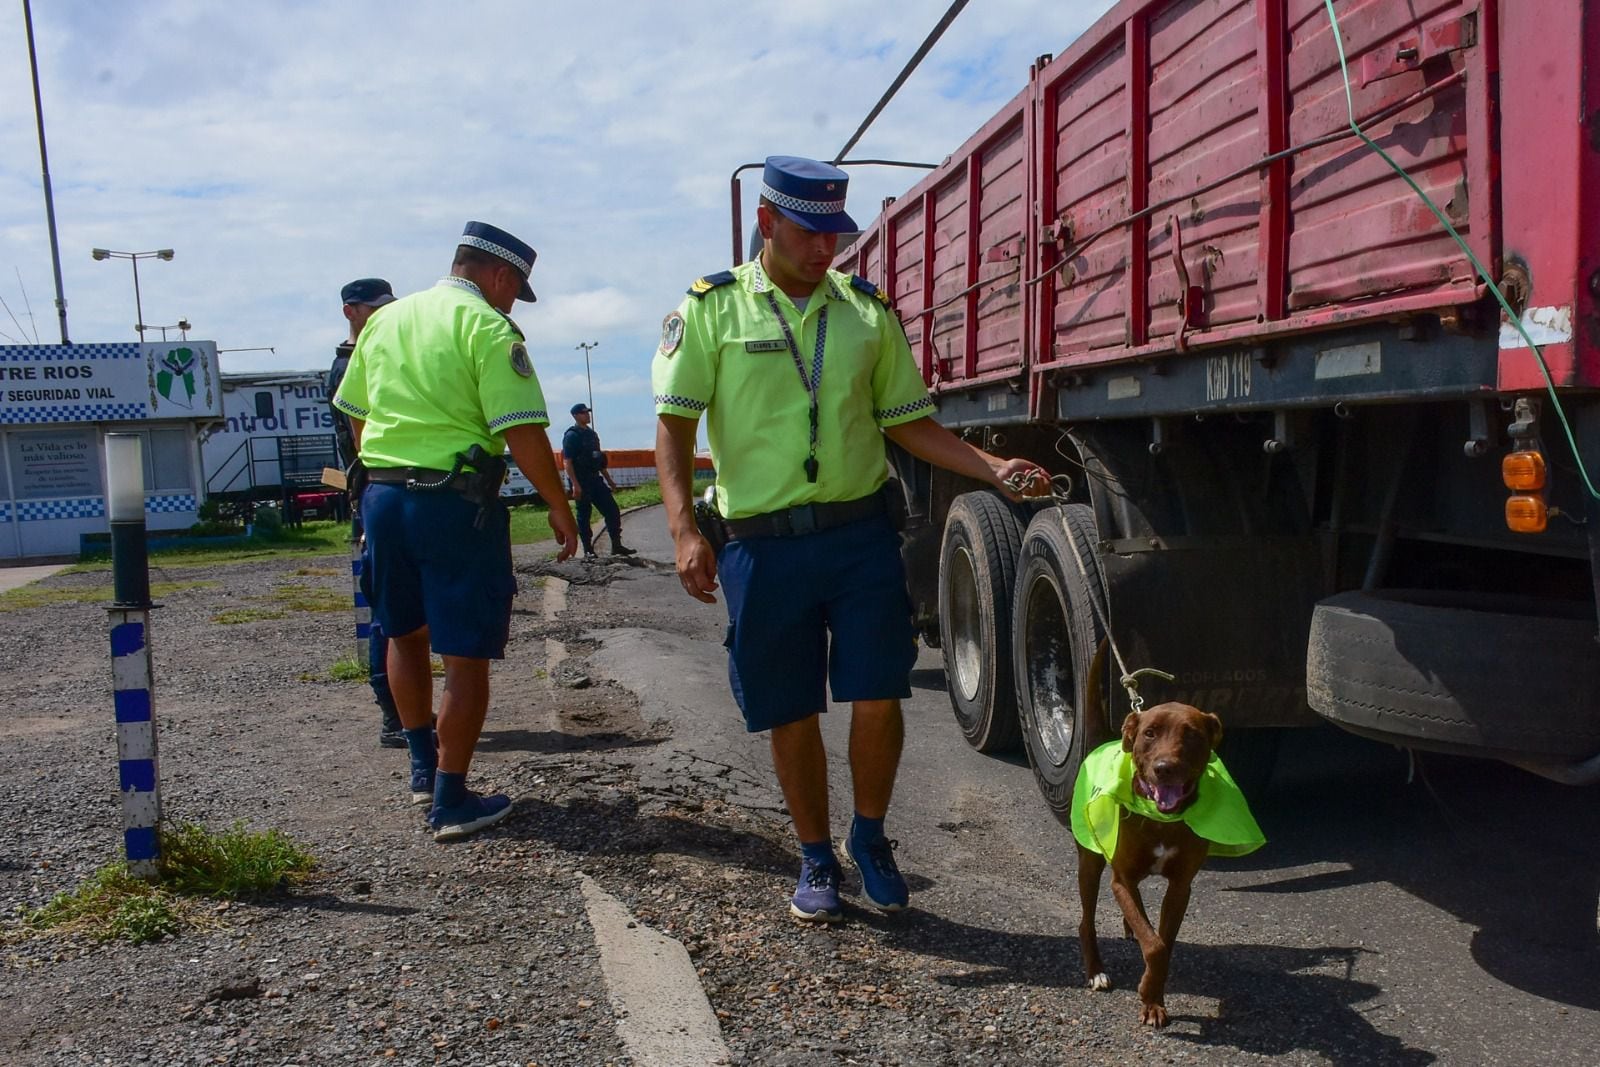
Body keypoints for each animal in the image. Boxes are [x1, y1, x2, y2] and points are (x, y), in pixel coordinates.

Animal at [334, 223, 579, 844]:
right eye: (514, 288)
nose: (516, 299)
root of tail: (411, 480)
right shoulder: (503, 346)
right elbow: (527, 441)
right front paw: (564, 521)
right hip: (467, 574)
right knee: (466, 664)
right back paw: (457, 805)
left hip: (393, 568)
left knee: (406, 652)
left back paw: (425, 771)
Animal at [563, 403, 636, 559]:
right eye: (583, 411)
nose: (588, 413)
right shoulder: (569, 440)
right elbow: (569, 460)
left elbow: (612, 512)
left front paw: (619, 548)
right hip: (583, 493)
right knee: (583, 520)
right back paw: (589, 551)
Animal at [652, 156, 1049, 921]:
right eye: (811, 230)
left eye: (829, 236)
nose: (831, 248)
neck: (798, 292)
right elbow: (676, 426)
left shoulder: (870, 584)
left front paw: (875, 858)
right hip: (770, 616)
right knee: (787, 704)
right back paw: (816, 868)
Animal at [1075, 675, 1222, 1023]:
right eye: (1150, 733)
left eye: (1192, 734)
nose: (1165, 767)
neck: (1161, 820)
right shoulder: (1121, 879)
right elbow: (1155, 946)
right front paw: (1147, 992)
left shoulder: (1180, 887)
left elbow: (1162, 945)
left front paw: (1153, 999)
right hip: (1089, 864)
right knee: (1086, 921)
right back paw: (1096, 971)